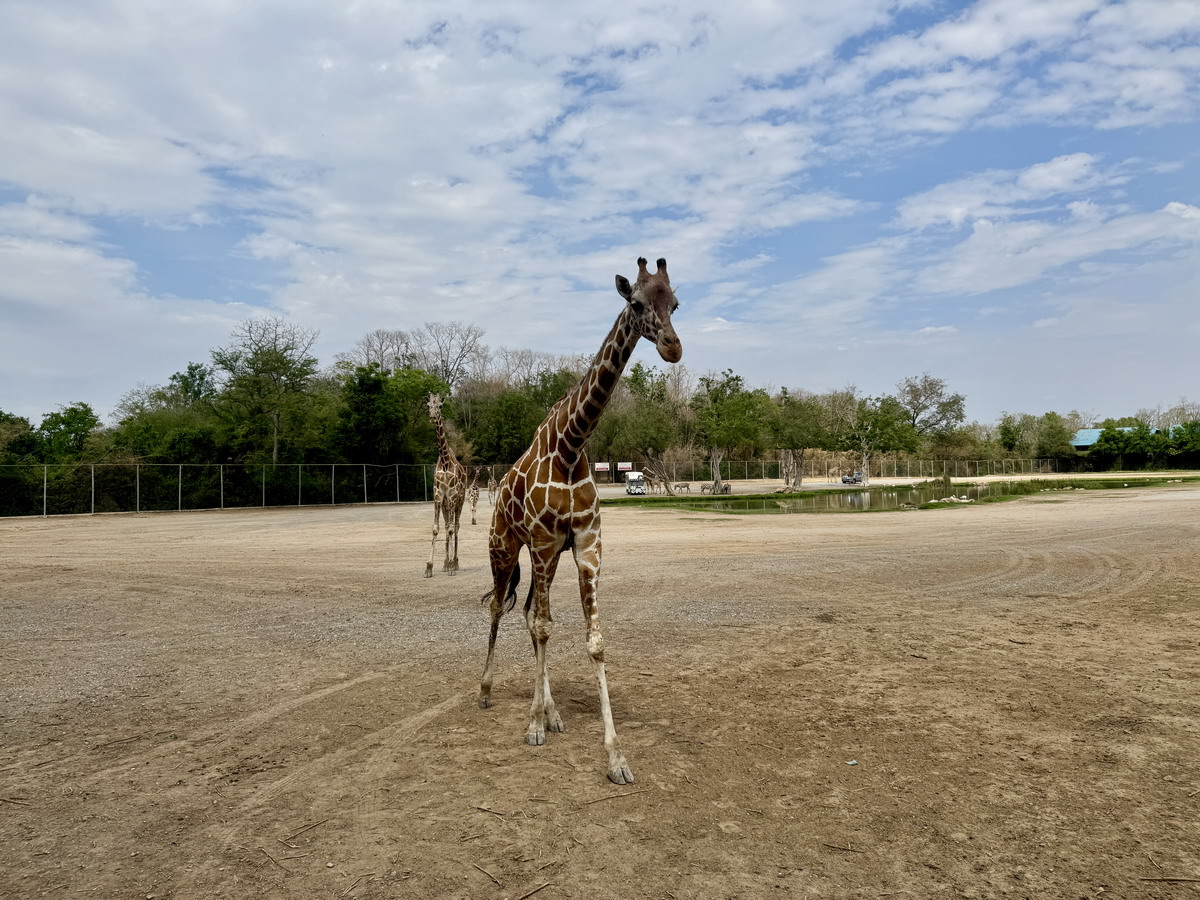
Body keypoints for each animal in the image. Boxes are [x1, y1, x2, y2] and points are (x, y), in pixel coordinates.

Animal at [480, 256, 686, 787]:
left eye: (674, 303)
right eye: (636, 303)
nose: (673, 347)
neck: (571, 444)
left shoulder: (587, 545)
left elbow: (592, 640)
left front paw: (616, 757)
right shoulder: (545, 542)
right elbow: (544, 628)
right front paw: (532, 725)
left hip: (543, 556)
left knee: (528, 615)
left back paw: (552, 712)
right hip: (505, 547)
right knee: (501, 612)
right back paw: (487, 691)